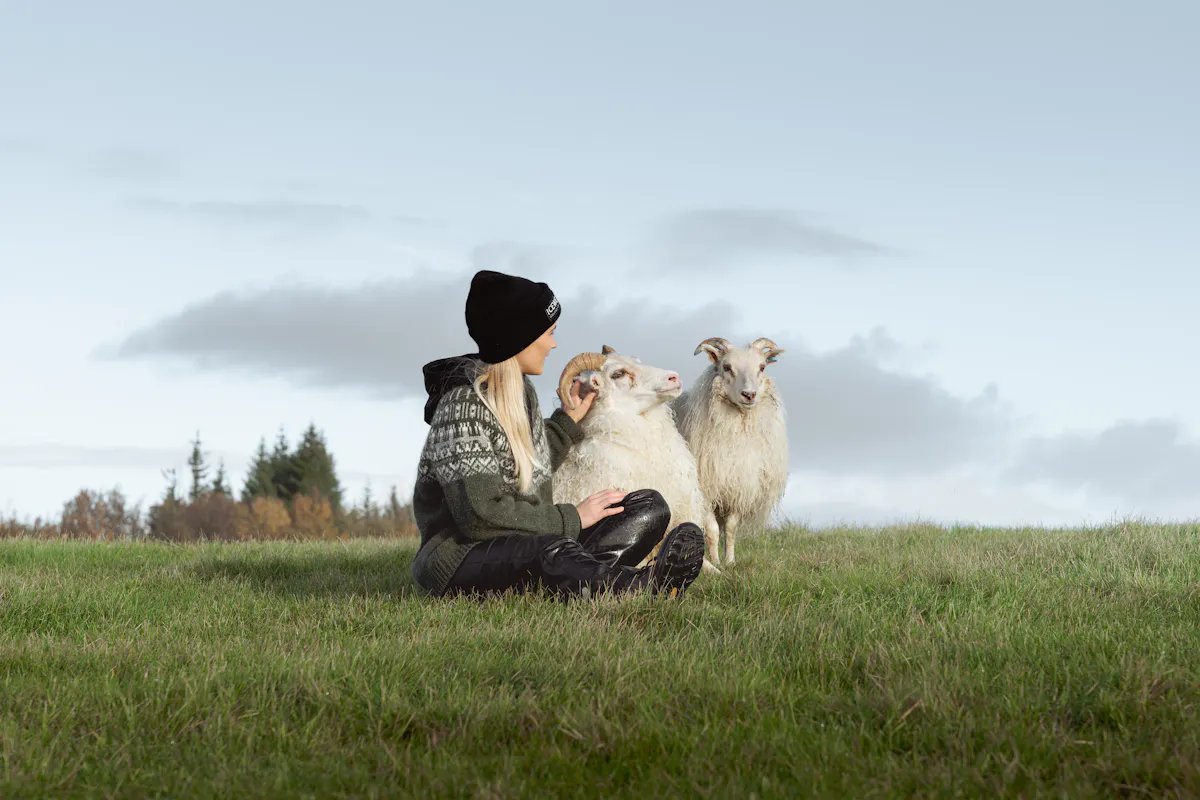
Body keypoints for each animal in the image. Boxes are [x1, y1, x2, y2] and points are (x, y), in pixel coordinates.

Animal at [671, 337, 789, 567]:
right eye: (726, 367)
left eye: (762, 367)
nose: (749, 394)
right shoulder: (707, 491)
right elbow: (712, 530)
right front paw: (716, 562)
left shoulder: (737, 487)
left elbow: (731, 529)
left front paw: (730, 561)